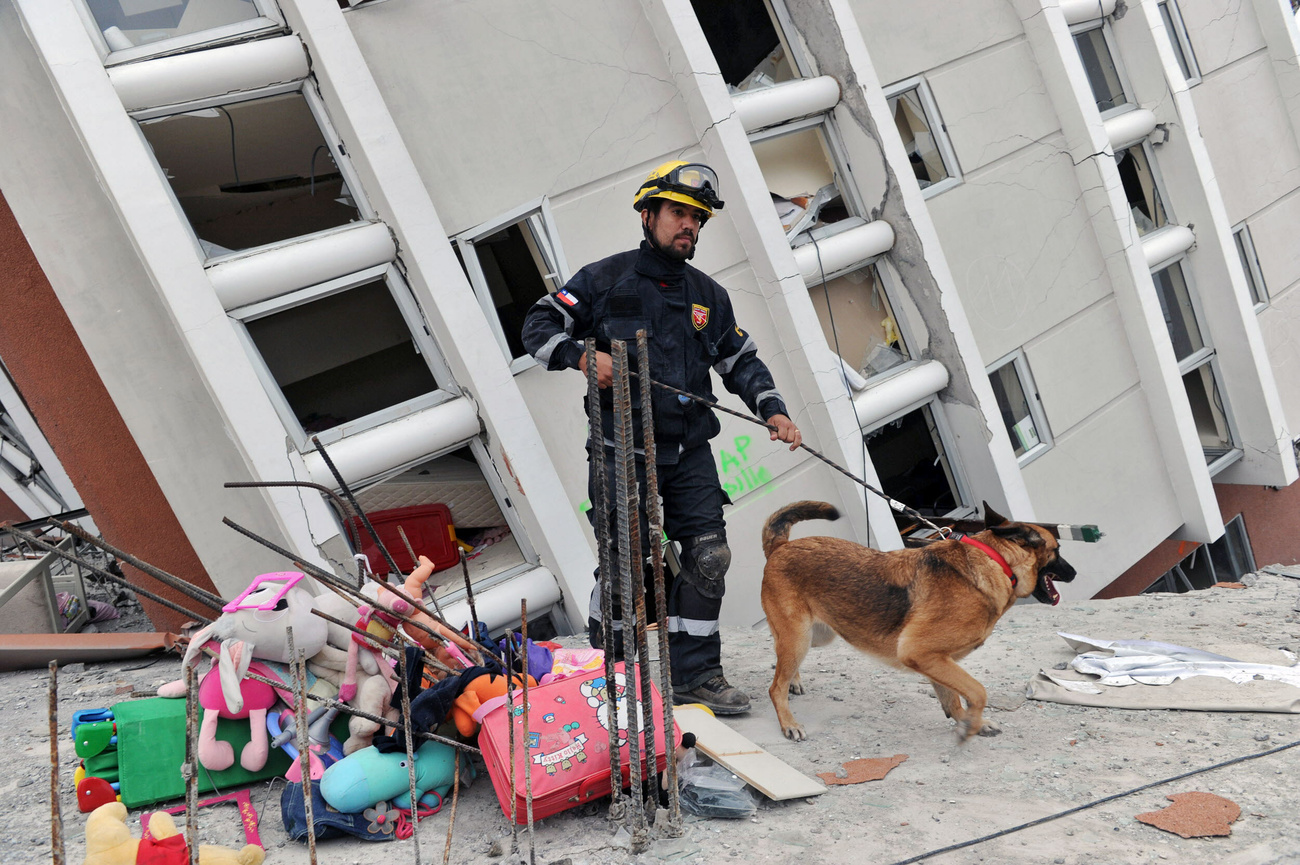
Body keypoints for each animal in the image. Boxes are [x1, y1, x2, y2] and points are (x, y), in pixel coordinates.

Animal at [759, 502, 1076, 738]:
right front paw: (972, 722)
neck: (995, 561)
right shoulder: (923, 653)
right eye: (1058, 550)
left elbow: (953, 697)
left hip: (817, 635)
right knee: (774, 687)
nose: (1074, 573)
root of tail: (780, 547)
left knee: (779, 658)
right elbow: (977, 691)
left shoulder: (936, 660)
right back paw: (788, 722)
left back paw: (794, 681)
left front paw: (968, 721)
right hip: (800, 637)